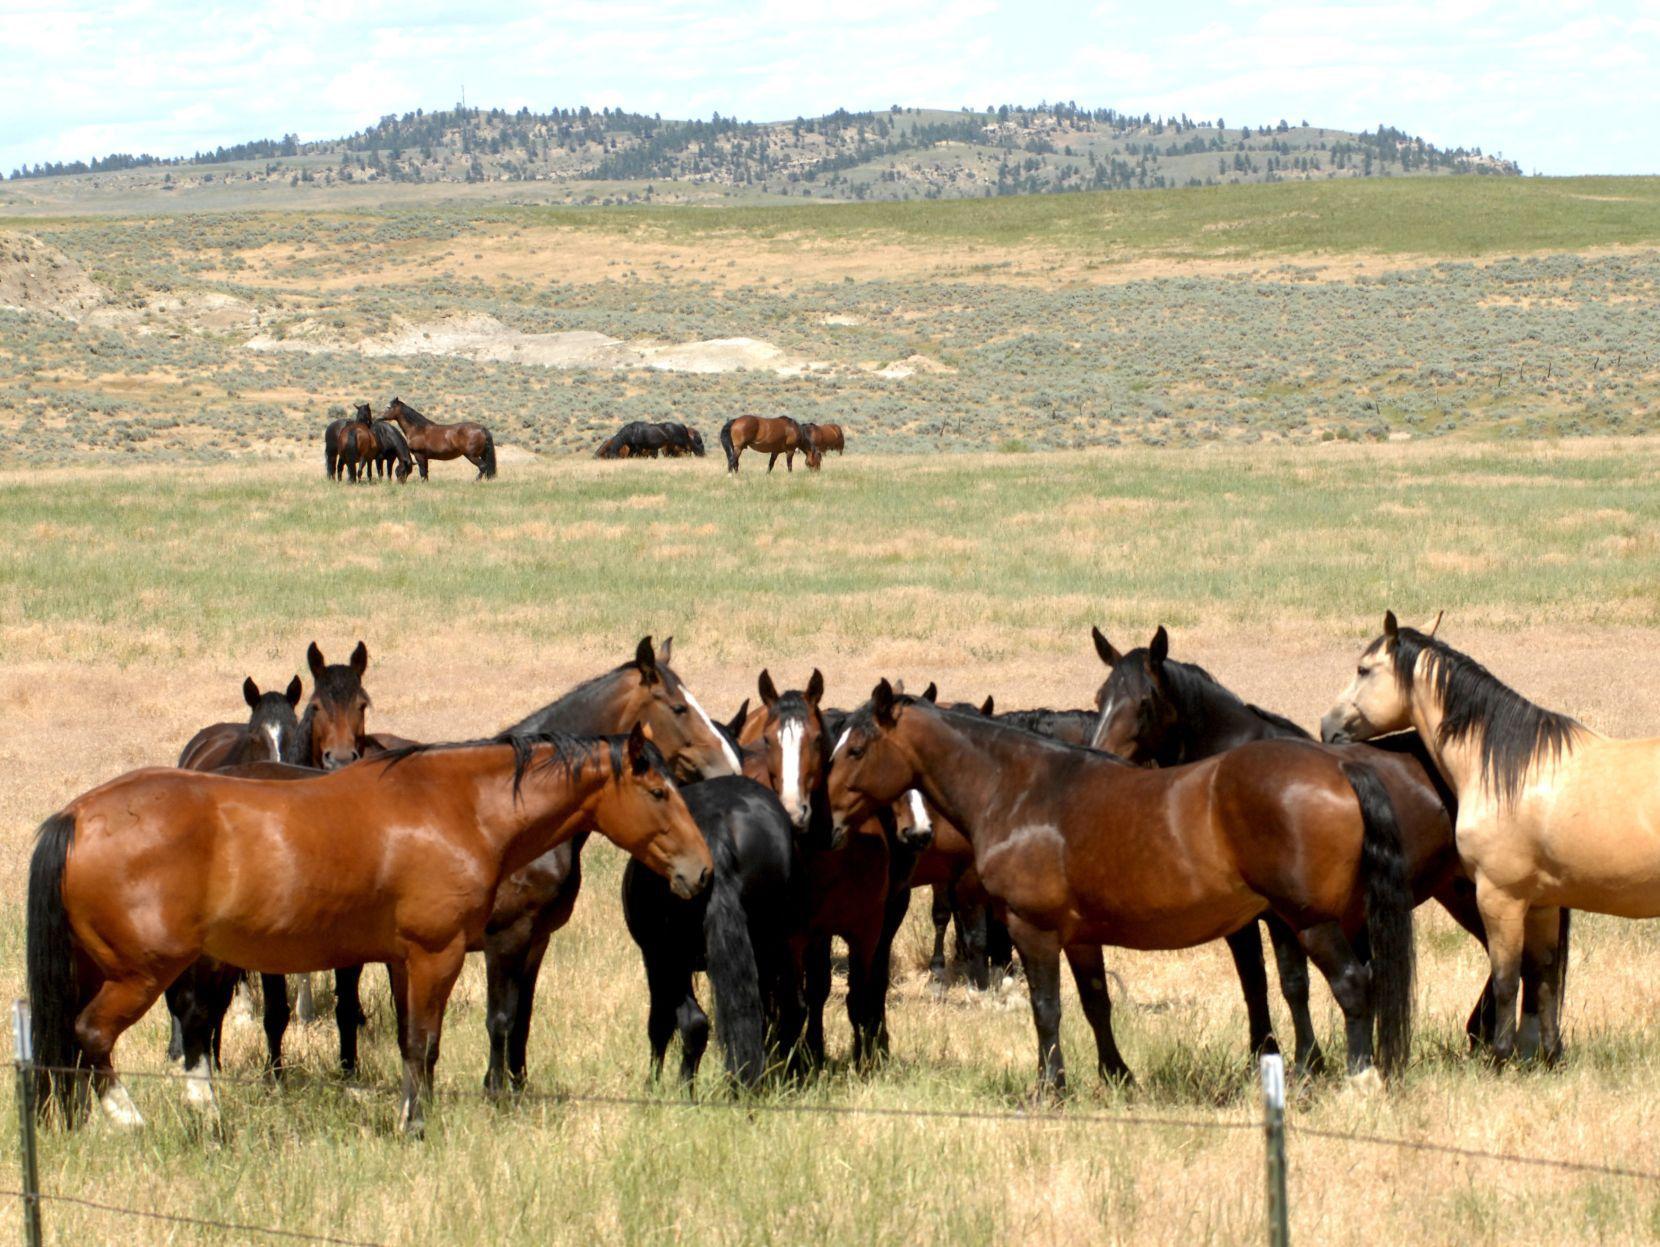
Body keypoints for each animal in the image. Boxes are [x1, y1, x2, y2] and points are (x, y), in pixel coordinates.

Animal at [26, 725, 711, 1135]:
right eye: (658, 791)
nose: (700, 871)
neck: (460, 808)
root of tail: (77, 814)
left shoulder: (407, 961)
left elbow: (412, 1045)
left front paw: (411, 1116)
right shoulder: (439, 955)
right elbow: (427, 1045)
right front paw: (418, 1127)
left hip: (94, 966)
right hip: (139, 974)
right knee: (93, 1035)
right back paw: (131, 1119)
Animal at [479, 636, 742, 1094]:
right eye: (679, 708)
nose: (730, 767)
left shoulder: (536, 938)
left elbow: (522, 1018)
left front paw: (518, 1086)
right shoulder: (504, 937)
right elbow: (500, 1019)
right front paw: (496, 1092)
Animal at [622, 776, 802, 1087]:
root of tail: (717, 825)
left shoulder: (654, 958)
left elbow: (660, 1023)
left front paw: (653, 1084)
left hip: (670, 958)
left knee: (693, 1023)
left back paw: (686, 1089)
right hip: (769, 945)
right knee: (772, 1015)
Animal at [828, 681, 1419, 1093]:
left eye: (855, 750)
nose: (823, 819)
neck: (1021, 791)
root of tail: (1340, 770)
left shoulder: (1032, 929)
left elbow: (1046, 1009)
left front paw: (1050, 1087)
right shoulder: (1081, 937)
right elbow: (1096, 1005)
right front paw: (1116, 1076)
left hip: (1311, 920)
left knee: (1353, 984)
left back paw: (1359, 1079)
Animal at [1321, 611, 1630, 1067]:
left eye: (1363, 669)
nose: (1327, 727)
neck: (1510, 768)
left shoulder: (1499, 897)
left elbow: (1507, 979)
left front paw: (1500, 1056)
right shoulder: (1537, 900)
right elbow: (1542, 974)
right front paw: (1547, 1057)